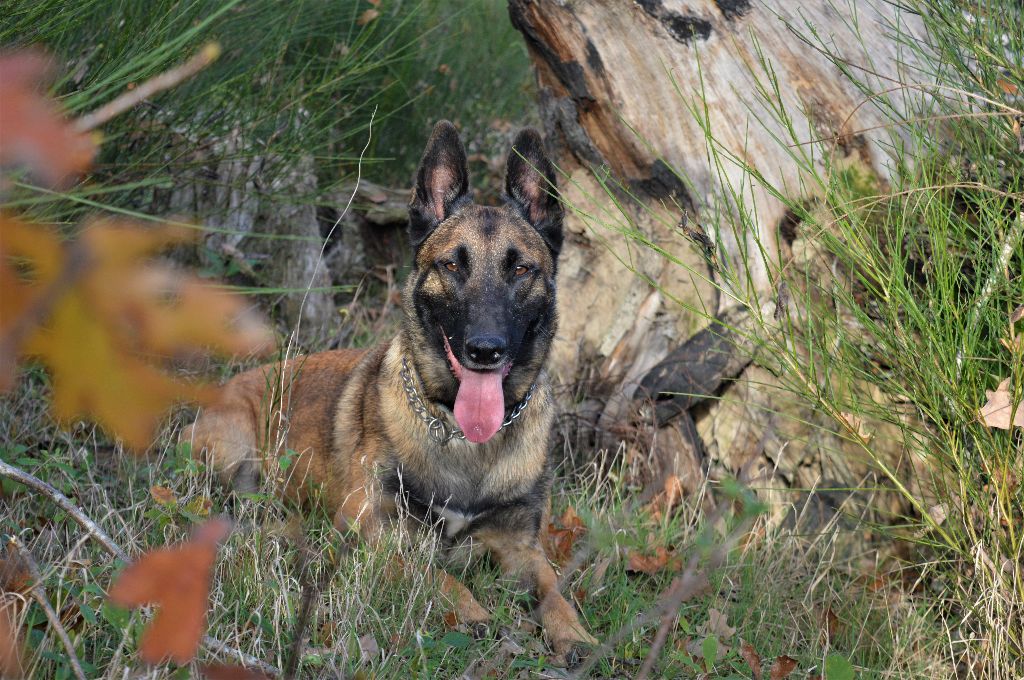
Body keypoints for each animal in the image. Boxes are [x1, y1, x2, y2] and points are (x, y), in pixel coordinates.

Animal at [182, 120, 598, 663]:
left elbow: (554, 591)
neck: (461, 438)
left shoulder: (521, 547)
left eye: (521, 269)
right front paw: (473, 613)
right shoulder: (375, 533)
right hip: (233, 451)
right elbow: (436, 576)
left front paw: (576, 635)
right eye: (452, 266)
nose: (485, 350)